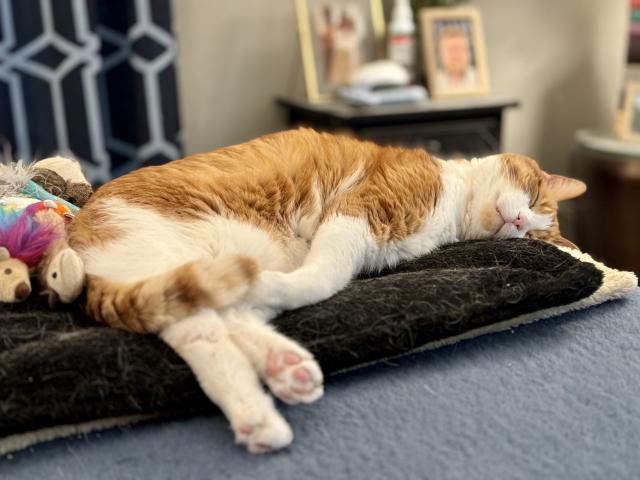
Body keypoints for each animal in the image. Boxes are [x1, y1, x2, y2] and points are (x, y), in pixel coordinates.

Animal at [65, 127, 584, 454]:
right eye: (535, 199)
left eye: (534, 236)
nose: (519, 222)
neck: (451, 212)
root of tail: (78, 237)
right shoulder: (363, 208)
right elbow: (327, 275)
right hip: (168, 251)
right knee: (206, 328)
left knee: (220, 325)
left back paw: (277, 380)